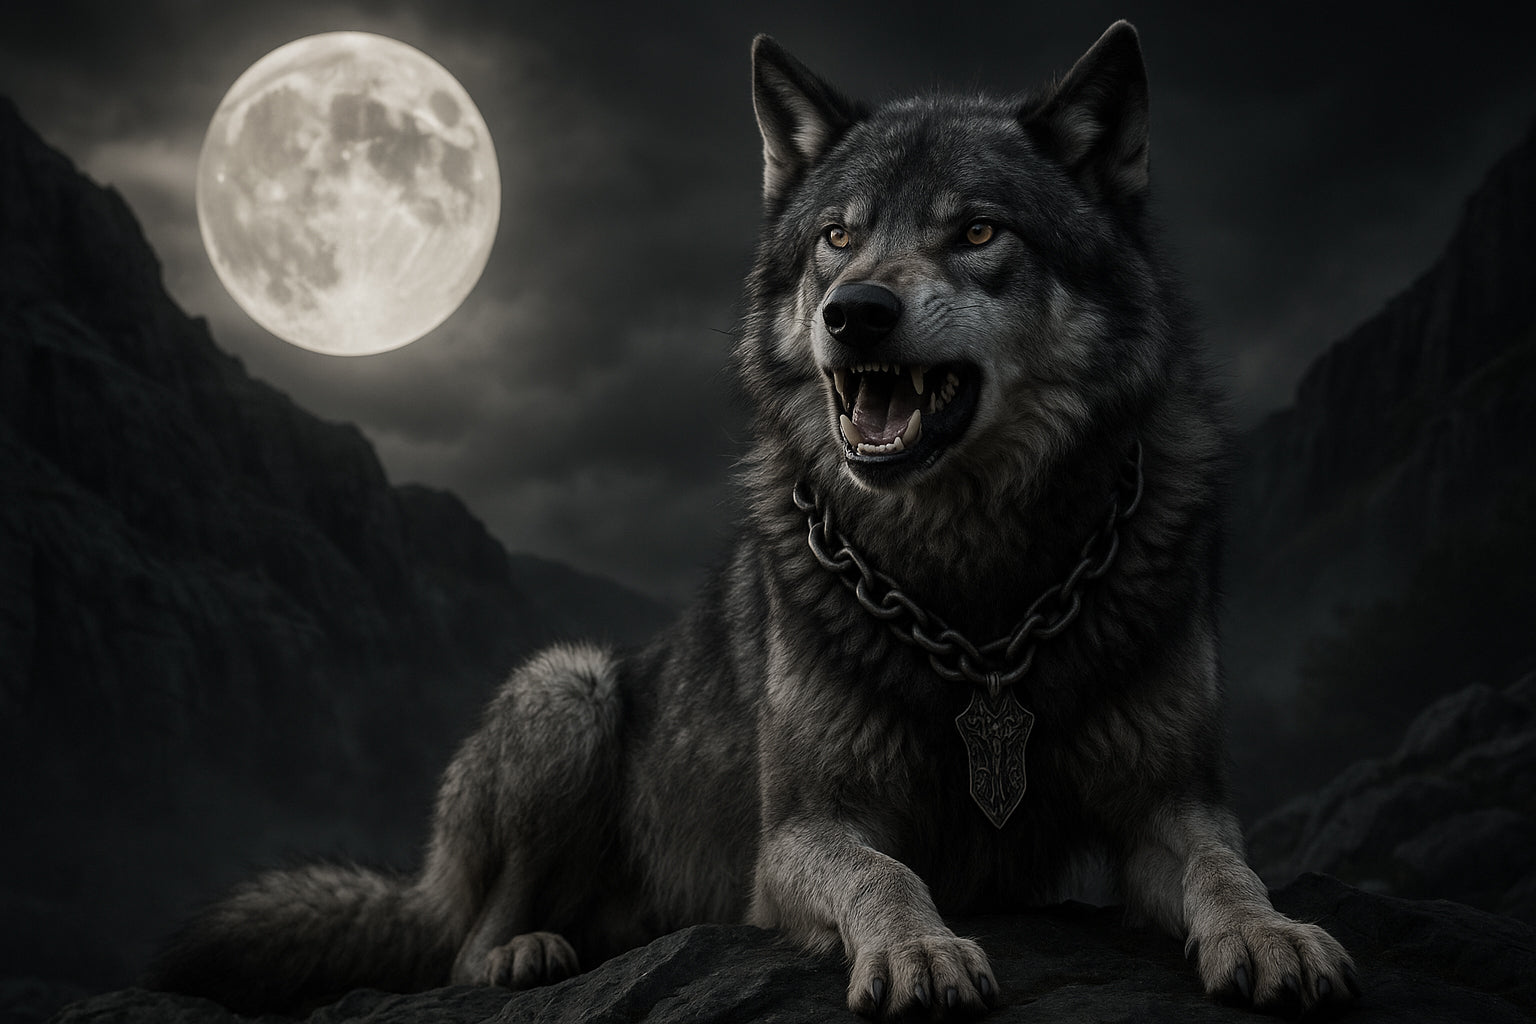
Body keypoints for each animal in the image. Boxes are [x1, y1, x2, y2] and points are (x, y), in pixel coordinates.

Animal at [151, 21, 1358, 1019]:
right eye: (836, 237)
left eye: (978, 232)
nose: (855, 311)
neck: (977, 593)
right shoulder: (799, 831)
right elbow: (887, 871)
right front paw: (920, 951)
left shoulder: (1172, 797)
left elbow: (1225, 868)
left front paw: (1272, 934)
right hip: (567, 690)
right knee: (462, 941)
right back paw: (527, 952)